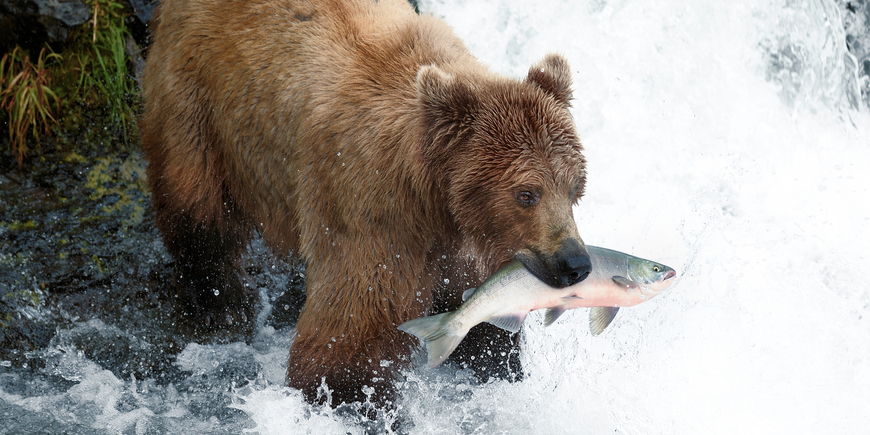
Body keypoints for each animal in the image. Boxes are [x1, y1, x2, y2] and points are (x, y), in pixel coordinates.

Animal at [140, 0, 591, 409]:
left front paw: (498, 364)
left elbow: (477, 314)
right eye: (526, 193)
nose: (575, 263)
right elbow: (355, 327)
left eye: (575, 188)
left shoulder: (466, 244)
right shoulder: (371, 208)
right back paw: (221, 304)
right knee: (197, 209)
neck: (436, 197)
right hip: (198, 102)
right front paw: (348, 397)